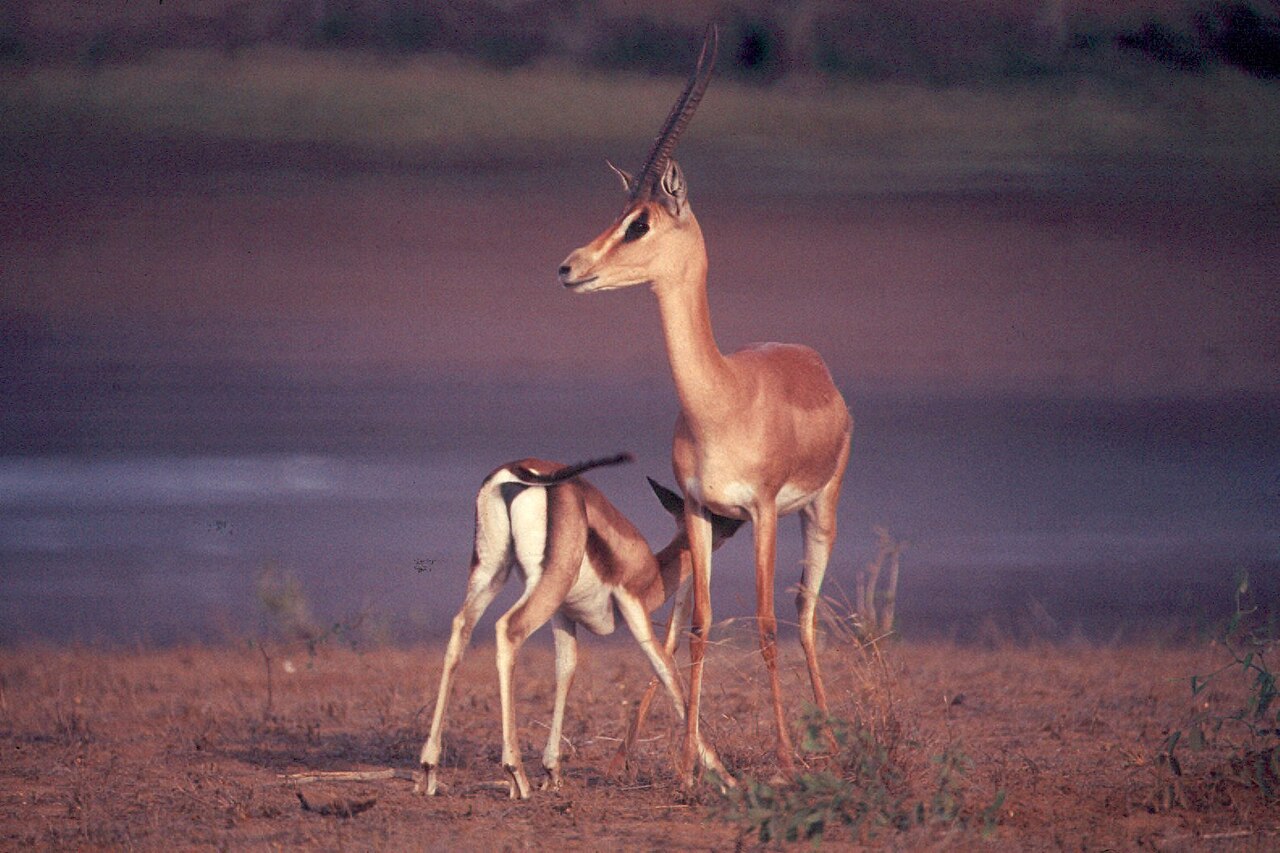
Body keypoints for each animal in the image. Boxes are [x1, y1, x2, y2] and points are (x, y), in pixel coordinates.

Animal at [418, 453, 742, 800]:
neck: (651, 571)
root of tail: (519, 470)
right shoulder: (632, 605)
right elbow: (666, 671)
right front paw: (726, 778)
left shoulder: (564, 615)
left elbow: (566, 669)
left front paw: (552, 773)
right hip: (545, 585)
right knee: (508, 629)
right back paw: (516, 775)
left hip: (491, 573)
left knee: (460, 630)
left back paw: (429, 770)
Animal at [557, 25, 853, 786]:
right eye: (617, 215)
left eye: (638, 224)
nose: (570, 266)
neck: (721, 399)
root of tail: (812, 360)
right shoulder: (697, 508)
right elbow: (695, 628)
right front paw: (690, 767)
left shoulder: (764, 509)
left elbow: (767, 627)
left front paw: (783, 759)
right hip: (721, 528)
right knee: (697, 617)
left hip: (818, 510)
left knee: (804, 613)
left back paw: (830, 740)